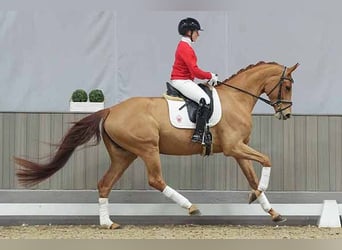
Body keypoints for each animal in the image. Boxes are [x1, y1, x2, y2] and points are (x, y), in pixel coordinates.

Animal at [14, 60, 300, 229]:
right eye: (286, 86)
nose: (286, 115)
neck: (236, 99)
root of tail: (110, 110)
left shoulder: (238, 149)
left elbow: (253, 175)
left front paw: (271, 210)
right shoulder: (233, 148)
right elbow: (267, 160)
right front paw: (259, 197)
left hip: (124, 155)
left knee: (104, 184)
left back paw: (108, 223)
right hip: (147, 148)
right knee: (155, 180)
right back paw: (191, 207)